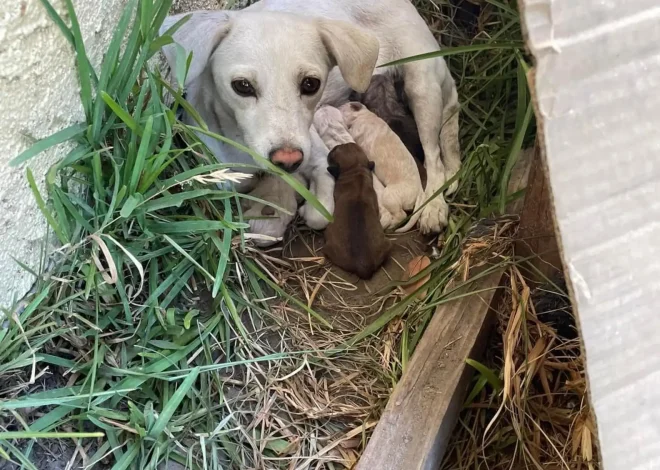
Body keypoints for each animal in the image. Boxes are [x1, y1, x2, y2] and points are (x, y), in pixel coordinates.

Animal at [338, 104, 426, 233]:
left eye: (341, 107)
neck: (366, 115)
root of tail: (420, 191)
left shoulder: (356, 130)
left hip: (389, 195)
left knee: (401, 215)